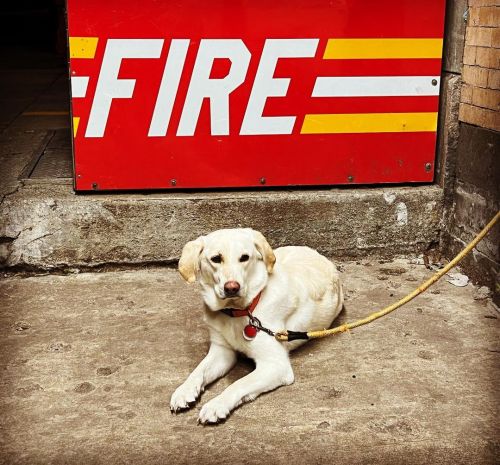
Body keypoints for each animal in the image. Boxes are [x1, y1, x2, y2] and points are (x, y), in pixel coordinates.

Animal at [170, 227, 342, 422]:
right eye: (216, 259)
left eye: (244, 257)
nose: (232, 287)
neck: (237, 312)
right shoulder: (222, 352)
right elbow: (198, 371)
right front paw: (184, 390)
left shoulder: (275, 365)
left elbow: (239, 383)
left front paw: (217, 405)